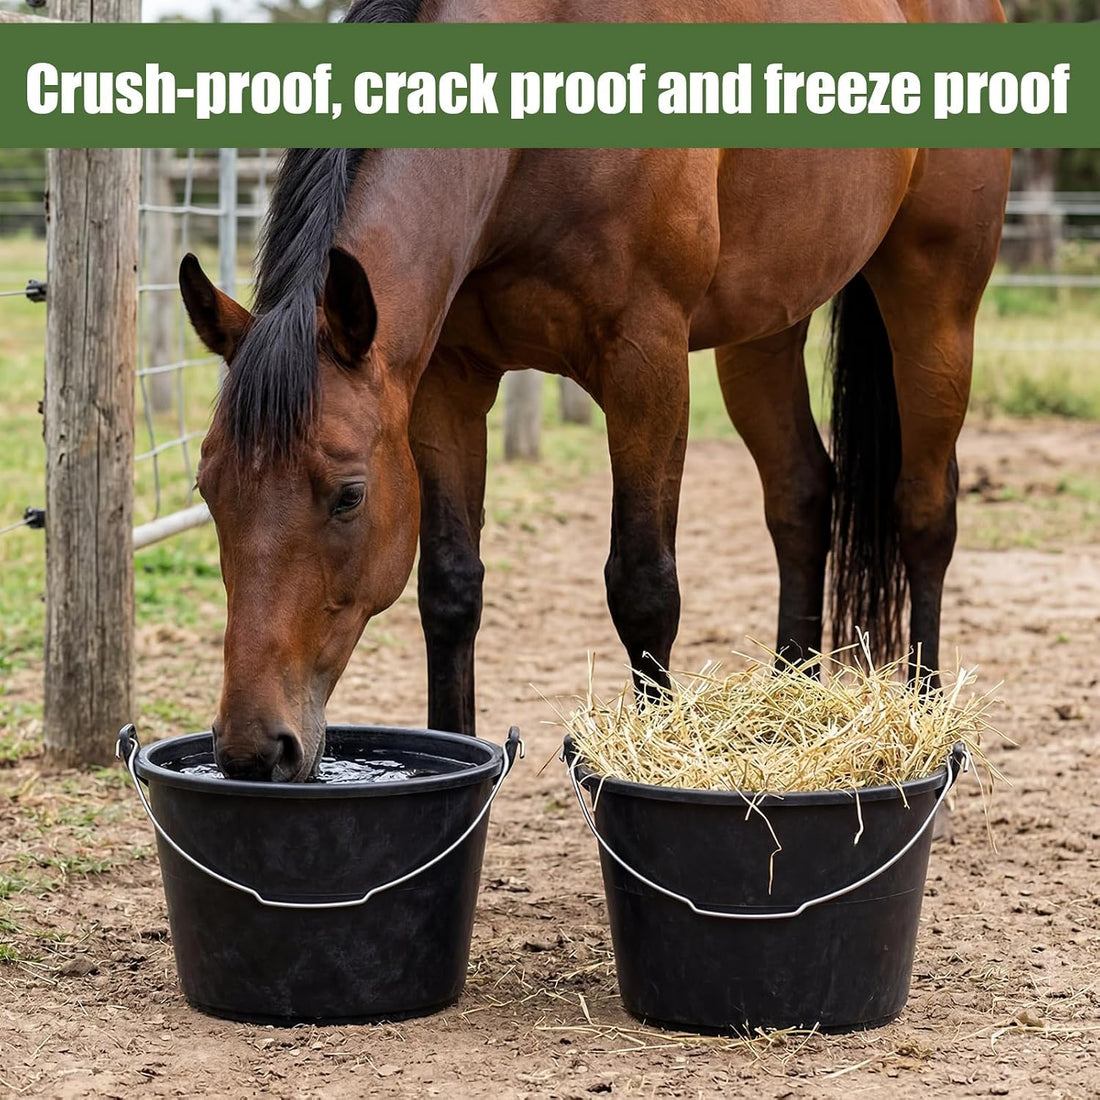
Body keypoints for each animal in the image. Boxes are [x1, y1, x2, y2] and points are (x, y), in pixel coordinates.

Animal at [179, 0, 1010, 781]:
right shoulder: (445, 384)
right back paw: (790, 699)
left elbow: (643, 587)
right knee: (803, 498)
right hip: (765, 328)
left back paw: (929, 722)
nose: (254, 750)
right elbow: (450, 589)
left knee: (924, 510)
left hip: (936, 302)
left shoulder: (646, 364)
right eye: (209, 489)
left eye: (348, 496)